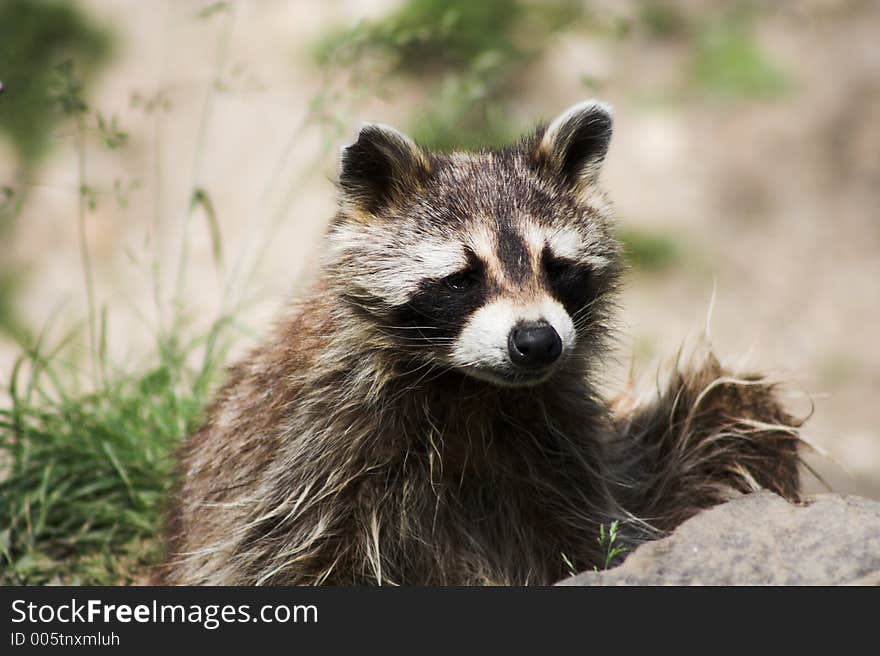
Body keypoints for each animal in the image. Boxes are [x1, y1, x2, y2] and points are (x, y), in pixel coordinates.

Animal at [155, 101, 800, 584]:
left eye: (557, 267)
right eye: (463, 278)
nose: (537, 342)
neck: (470, 390)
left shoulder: (558, 447)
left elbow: (584, 534)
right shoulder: (312, 455)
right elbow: (283, 556)